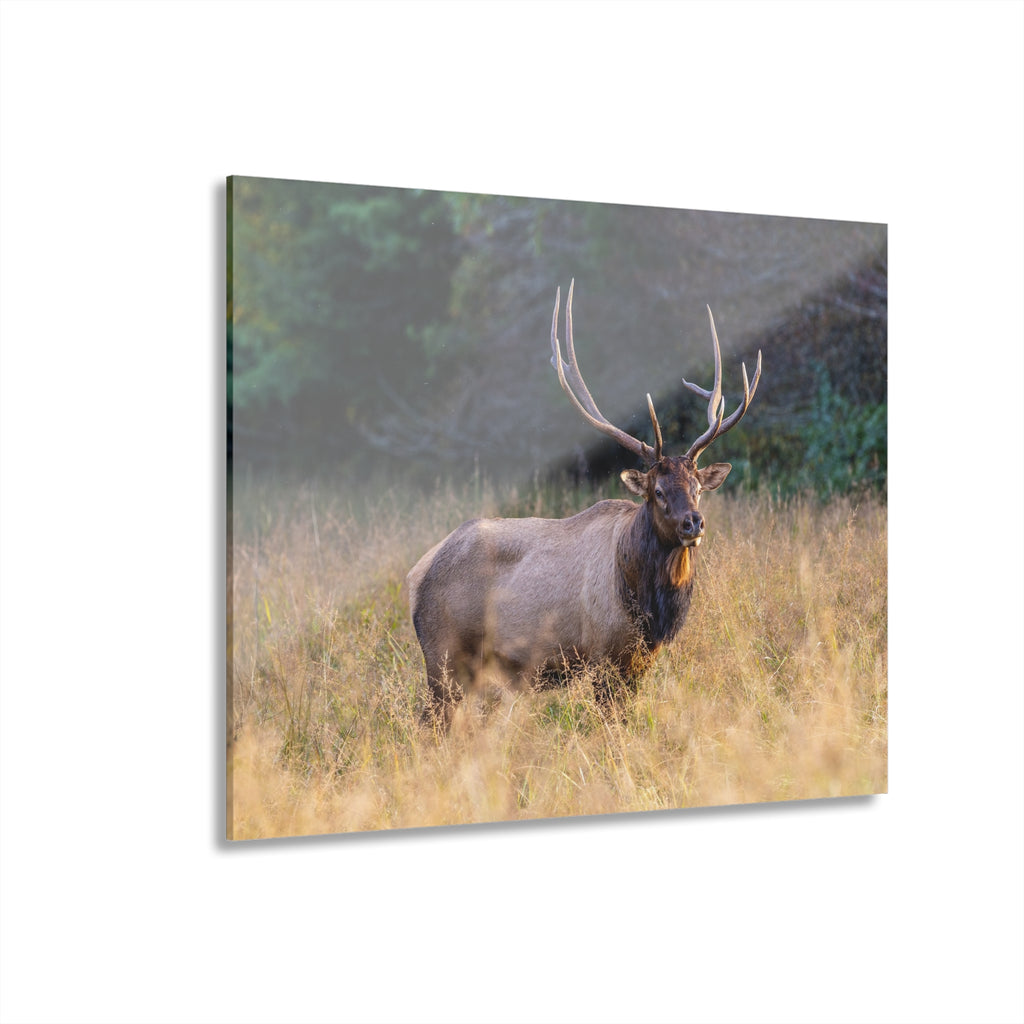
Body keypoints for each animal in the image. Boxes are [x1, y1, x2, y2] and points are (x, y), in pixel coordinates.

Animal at [406, 280, 761, 729]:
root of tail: (415, 576)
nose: (693, 524)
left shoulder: (640, 661)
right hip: (444, 655)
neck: (647, 605)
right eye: (658, 491)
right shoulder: (604, 655)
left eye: (697, 487)